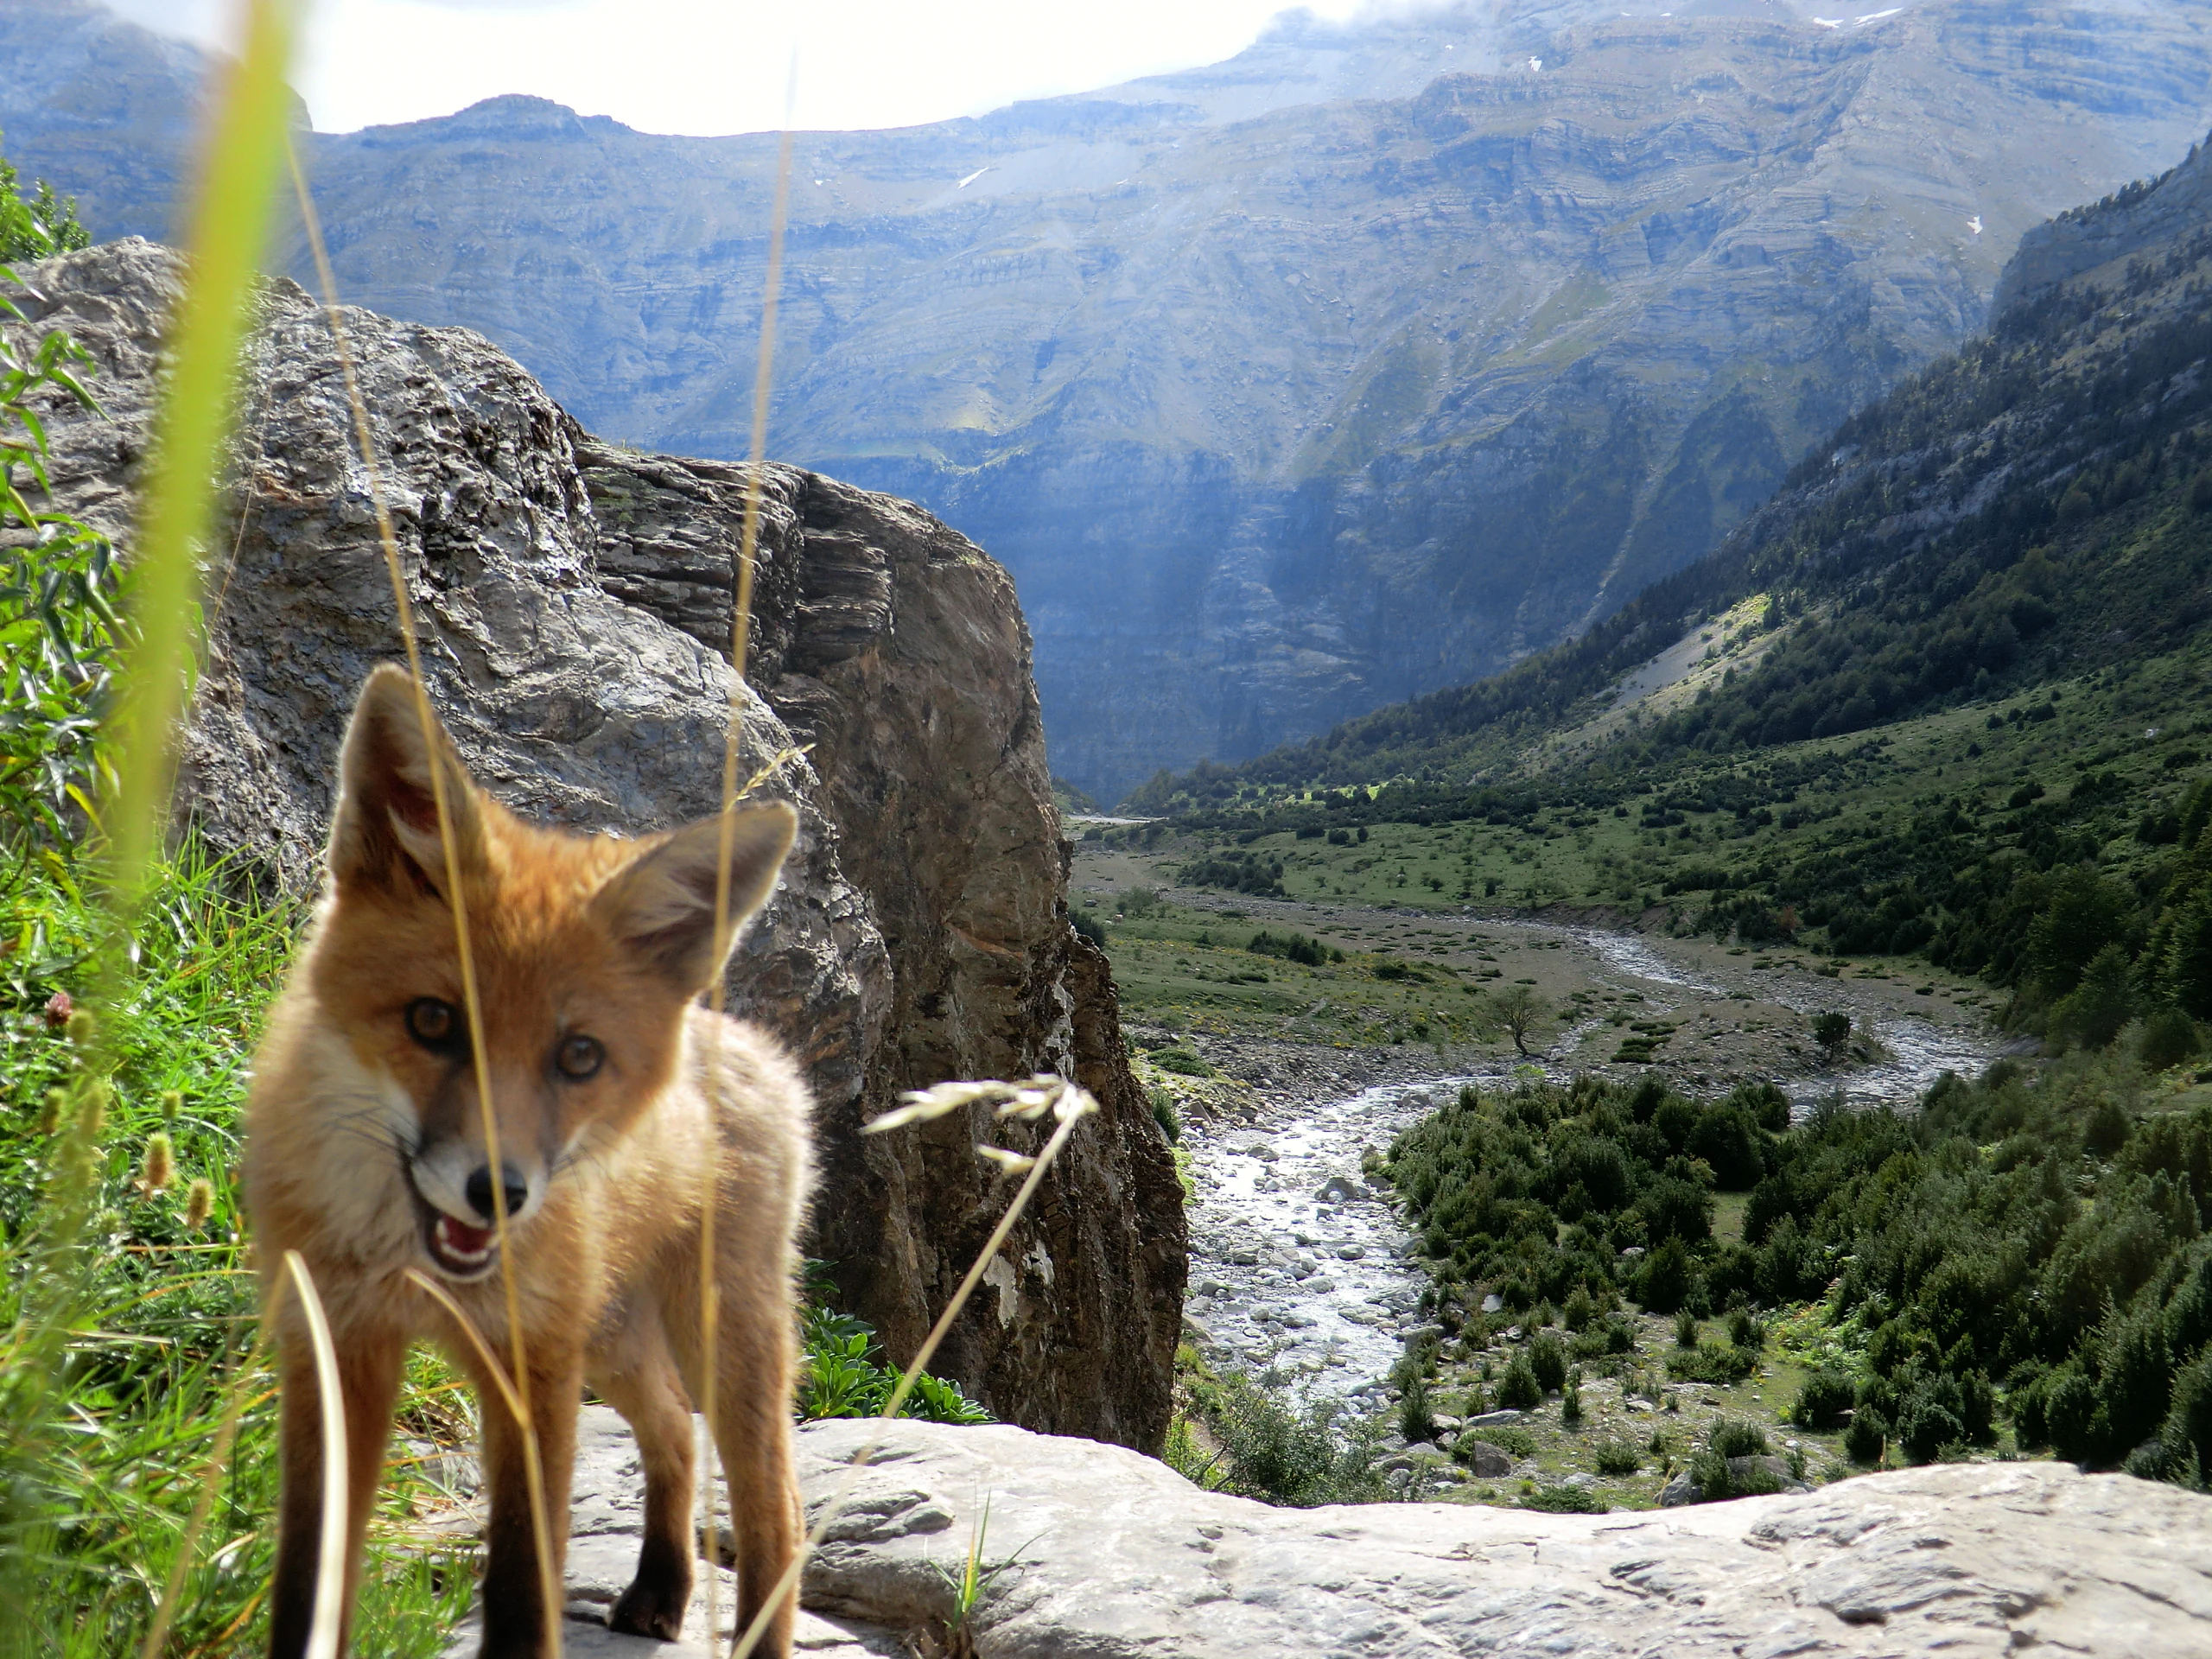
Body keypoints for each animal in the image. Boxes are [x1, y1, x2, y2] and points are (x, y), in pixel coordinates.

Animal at [245, 663, 813, 1659]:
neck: (408, 1270)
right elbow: (309, 1577)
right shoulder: (332, 1346)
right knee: (674, 1434)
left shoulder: (530, 1368)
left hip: (717, 1336)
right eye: (434, 1021)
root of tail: (746, 1039)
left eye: (578, 1057)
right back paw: (660, 1589)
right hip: (616, 1343)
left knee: (777, 1507)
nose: (497, 1192)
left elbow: (520, 1583)